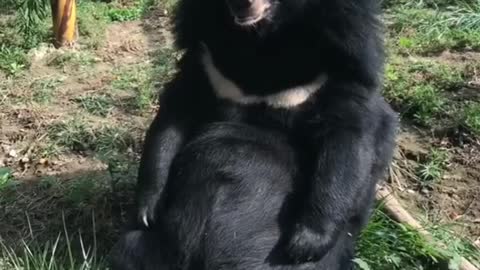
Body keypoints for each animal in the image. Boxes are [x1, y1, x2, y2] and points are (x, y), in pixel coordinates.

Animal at [111, 0, 398, 268]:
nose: (242, 3)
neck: (262, 40)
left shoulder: (340, 61)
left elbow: (346, 141)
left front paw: (305, 243)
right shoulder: (207, 60)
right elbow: (175, 113)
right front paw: (148, 210)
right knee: (131, 247)